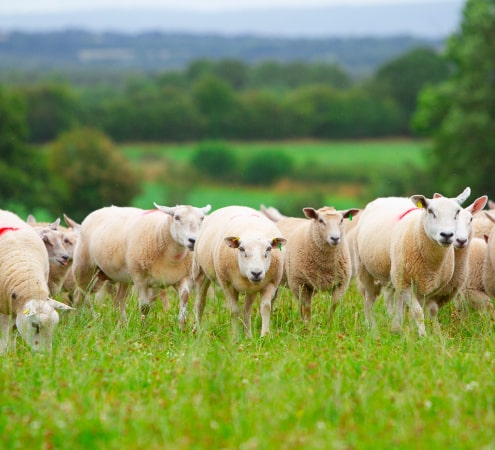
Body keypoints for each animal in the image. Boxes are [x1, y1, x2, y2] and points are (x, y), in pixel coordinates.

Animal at [73, 202, 211, 326]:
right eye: (176, 217)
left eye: (202, 218)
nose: (193, 240)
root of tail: (100, 210)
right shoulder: (140, 279)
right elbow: (145, 307)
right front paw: (143, 327)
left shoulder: (184, 277)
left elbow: (185, 297)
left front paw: (182, 326)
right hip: (84, 267)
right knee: (81, 296)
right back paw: (78, 320)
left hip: (123, 277)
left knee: (119, 300)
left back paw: (122, 324)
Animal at [193, 206, 286, 336]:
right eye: (241, 249)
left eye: (268, 249)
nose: (256, 273)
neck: (252, 230)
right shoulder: (227, 284)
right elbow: (234, 311)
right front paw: (236, 336)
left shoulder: (271, 283)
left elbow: (265, 308)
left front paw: (265, 335)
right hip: (200, 271)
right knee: (199, 303)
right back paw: (197, 330)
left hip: (251, 289)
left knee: (247, 310)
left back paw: (248, 336)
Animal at [354, 188, 470, 336]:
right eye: (430, 211)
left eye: (457, 212)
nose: (447, 235)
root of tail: (387, 198)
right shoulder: (406, 284)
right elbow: (418, 312)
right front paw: (423, 336)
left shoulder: (428, 287)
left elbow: (427, 311)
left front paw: (418, 333)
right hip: (366, 270)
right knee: (369, 300)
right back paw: (372, 328)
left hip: (396, 275)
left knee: (396, 301)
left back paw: (396, 327)